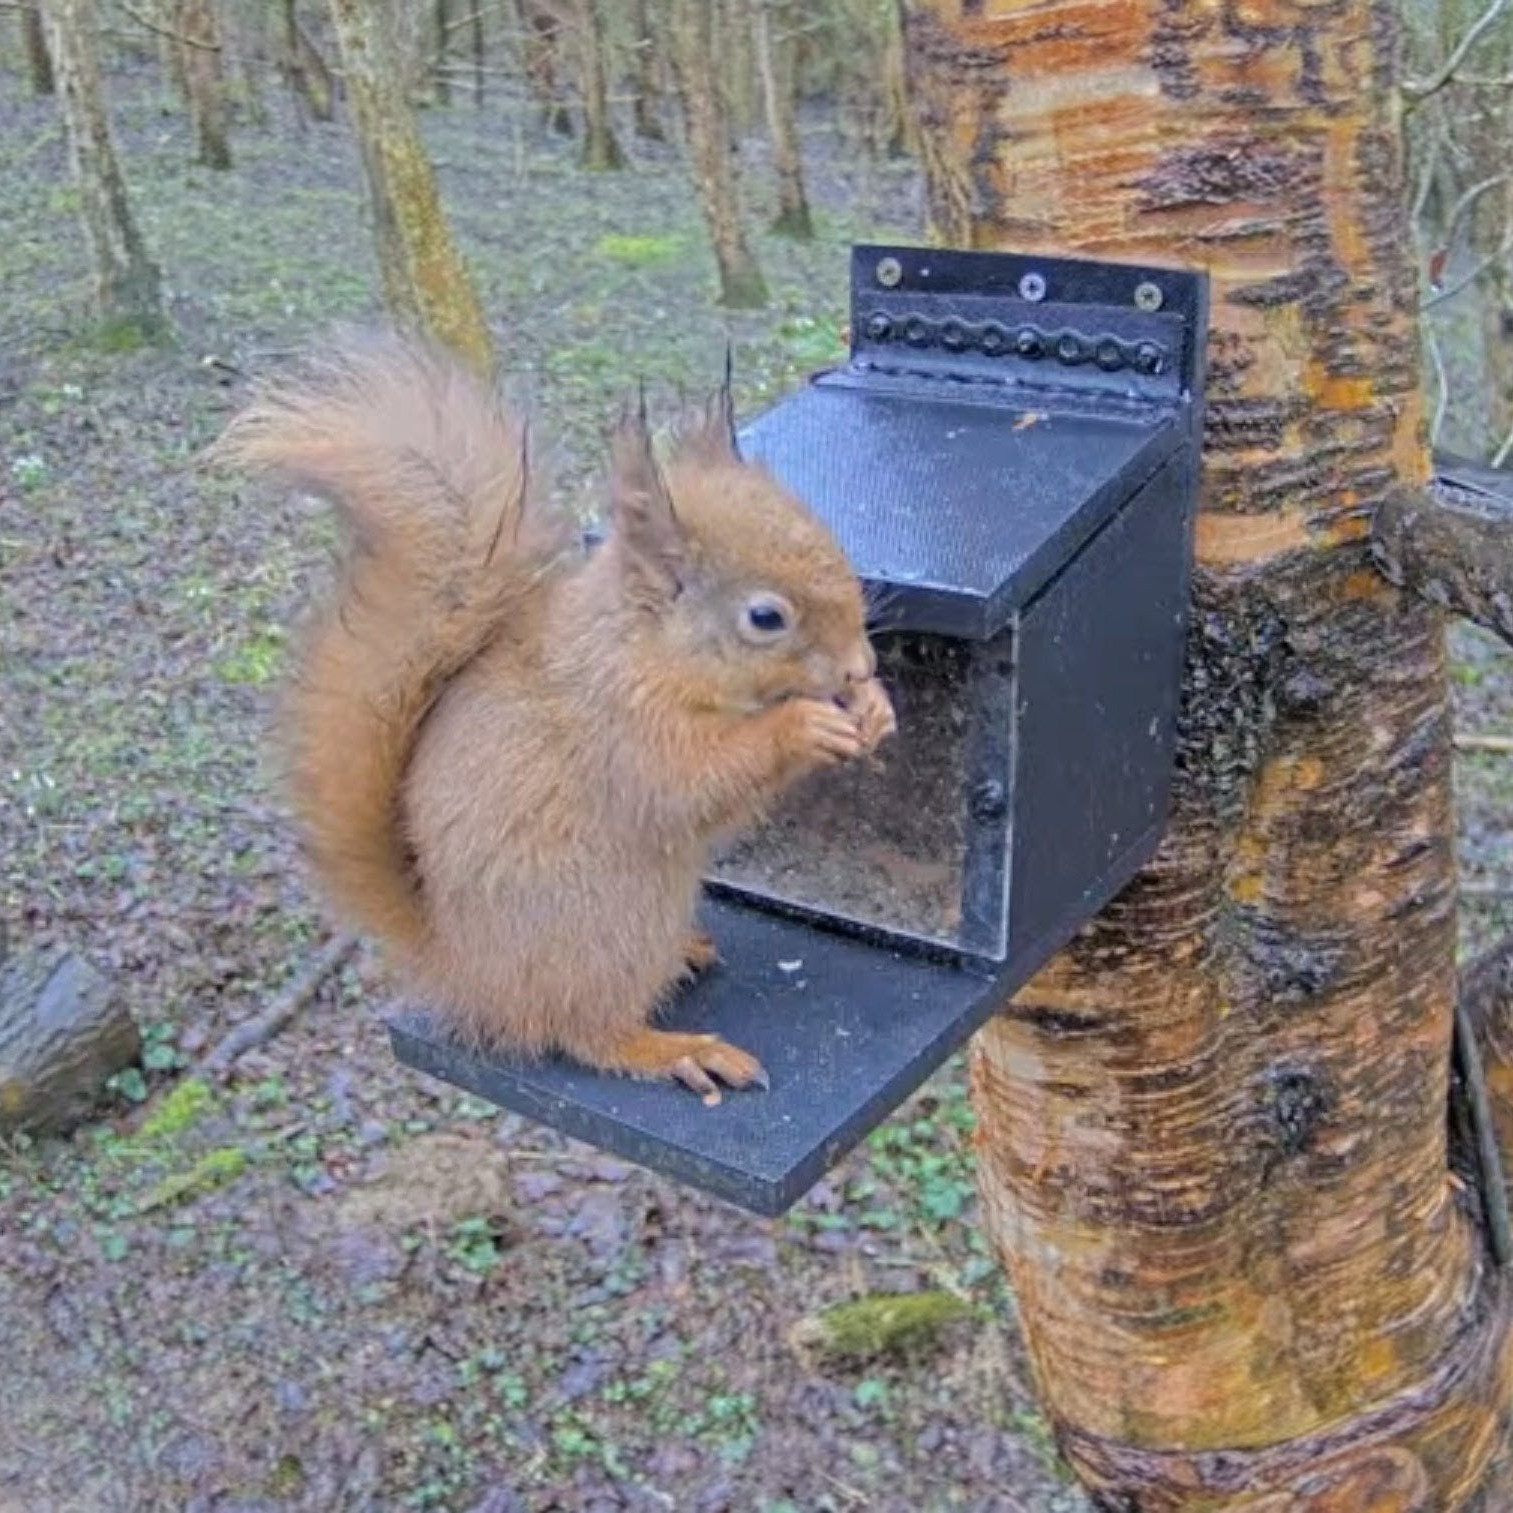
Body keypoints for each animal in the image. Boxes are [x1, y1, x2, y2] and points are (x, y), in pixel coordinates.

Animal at [216, 337, 895, 1098]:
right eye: (766, 617)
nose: (858, 667)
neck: (643, 647)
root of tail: (470, 976)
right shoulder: (618, 725)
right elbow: (690, 782)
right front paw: (801, 726)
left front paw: (875, 708)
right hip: (609, 924)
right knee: (584, 1032)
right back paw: (673, 1049)